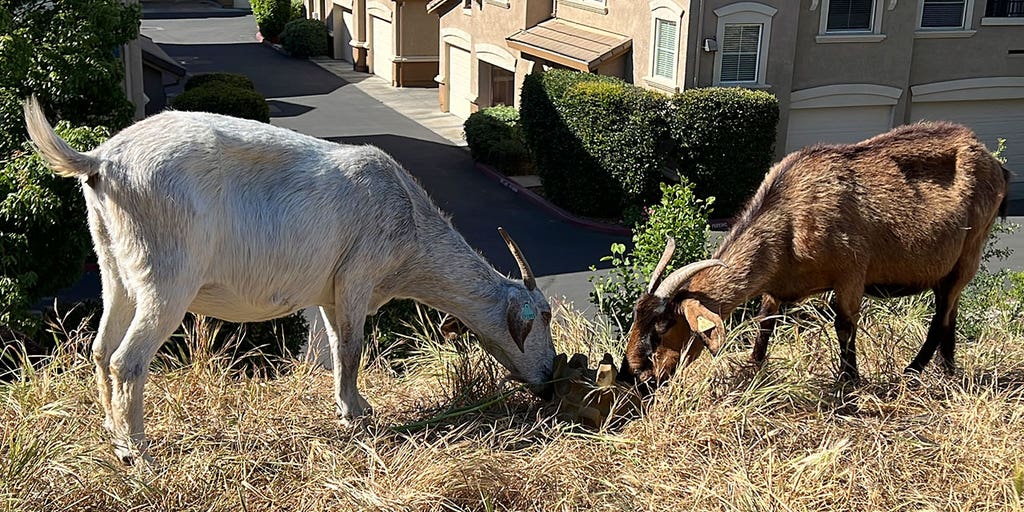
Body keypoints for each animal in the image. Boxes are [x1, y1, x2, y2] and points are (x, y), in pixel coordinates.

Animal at [23, 97, 556, 463]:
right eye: (545, 317)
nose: (549, 382)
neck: (411, 219)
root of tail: (101, 162)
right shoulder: (359, 274)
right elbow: (353, 348)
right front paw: (357, 415)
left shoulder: (331, 290)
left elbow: (338, 345)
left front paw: (350, 405)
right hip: (166, 274)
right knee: (126, 360)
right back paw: (139, 453)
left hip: (115, 265)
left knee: (99, 348)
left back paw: (113, 436)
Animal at [620, 121, 1009, 387]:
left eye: (663, 327)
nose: (637, 372)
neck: (790, 217)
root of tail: (995, 164)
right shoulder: (777, 285)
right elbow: (766, 323)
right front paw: (752, 369)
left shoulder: (852, 272)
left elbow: (845, 325)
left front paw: (849, 381)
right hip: (948, 270)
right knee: (950, 314)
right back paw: (947, 370)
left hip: (969, 254)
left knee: (941, 317)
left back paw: (911, 371)